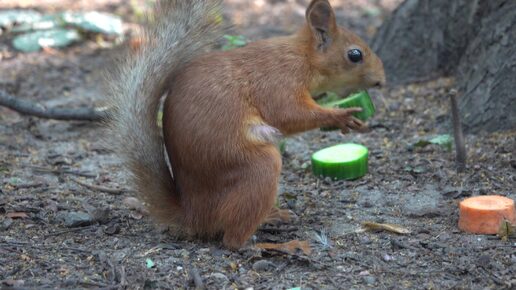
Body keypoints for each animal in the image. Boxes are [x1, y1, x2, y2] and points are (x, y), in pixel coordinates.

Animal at [108, 0, 382, 249]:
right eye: (355, 55)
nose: (382, 80)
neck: (302, 56)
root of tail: (194, 214)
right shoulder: (278, 81)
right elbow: (289, 114)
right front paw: (340, 116)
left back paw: (272, 217)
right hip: (258, 168)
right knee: (233, 241)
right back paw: (276, 247)